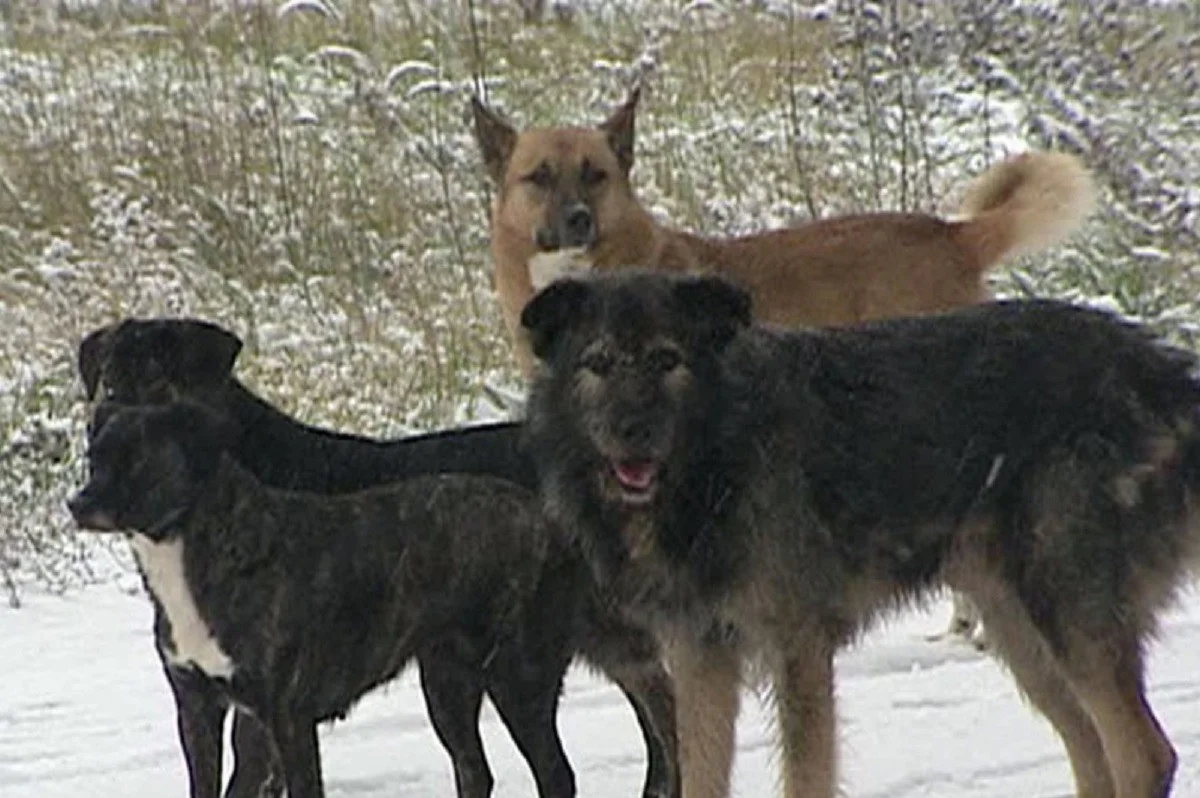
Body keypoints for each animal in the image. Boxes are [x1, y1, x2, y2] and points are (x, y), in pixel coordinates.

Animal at [75, 316, 676, 796]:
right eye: (107, 382)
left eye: (159, 379)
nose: (106, 417)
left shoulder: (269, 716)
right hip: (456, 672)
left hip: (537, 655)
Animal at [520, 271, 1200, 796]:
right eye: (597, 364)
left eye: (667, 359)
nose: (630, 432)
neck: (714, 460)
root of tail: (1164, 373)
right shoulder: (700, 654)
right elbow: (704, 775)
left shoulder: (797, 648)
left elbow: (805, 777)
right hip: (1023, 634)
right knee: (1096, 754)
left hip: (1069, 617)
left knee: (1145, 757)